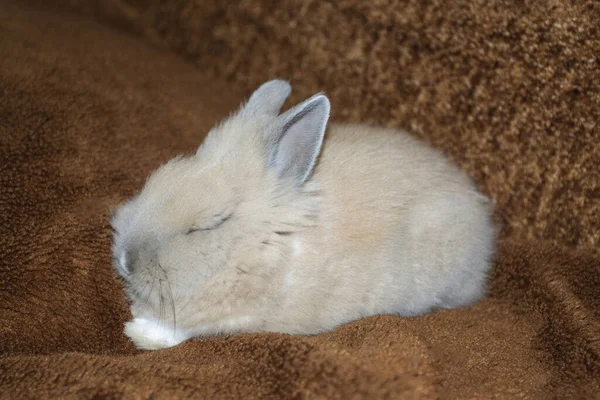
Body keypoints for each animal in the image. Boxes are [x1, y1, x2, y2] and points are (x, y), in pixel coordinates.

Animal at [111, 79, 496, 348]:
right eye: (156, 182)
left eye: (208, 226)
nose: (126, 261)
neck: (264, 245)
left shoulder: (241, 315)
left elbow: (185, 329)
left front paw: (138, 331)